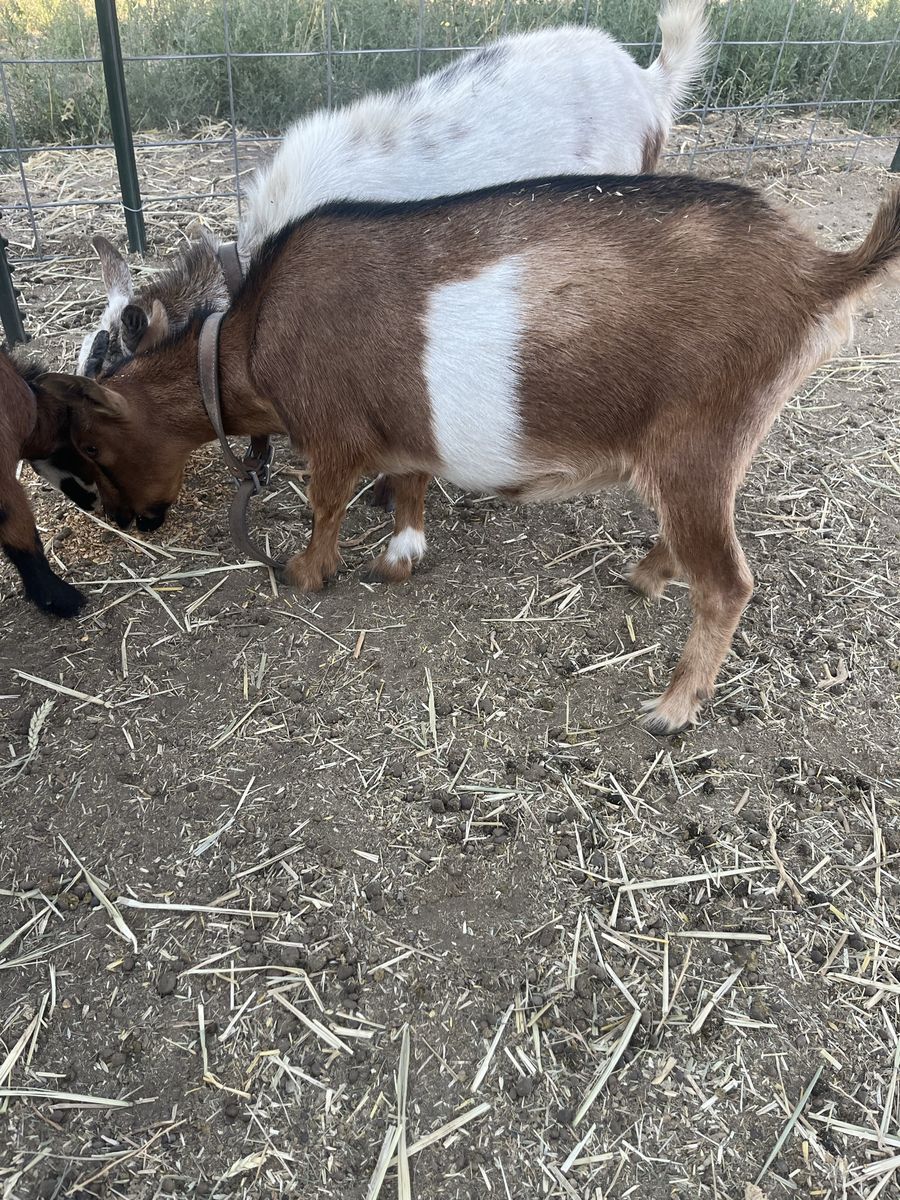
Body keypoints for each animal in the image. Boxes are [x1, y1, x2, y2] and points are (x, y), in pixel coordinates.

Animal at [36, 174, 900, 731]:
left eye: (90, 442)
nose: (134, 521)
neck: (246, 341)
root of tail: (820, 271)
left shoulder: (333, 431)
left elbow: (326, 503)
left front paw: (308, 573)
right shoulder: (403, 431)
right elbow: (411, 488)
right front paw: (400, 559)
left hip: (700, 438)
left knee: (727, 580)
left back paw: (672, 710)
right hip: (707, 451)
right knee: (694, 543)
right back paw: (646, 577)